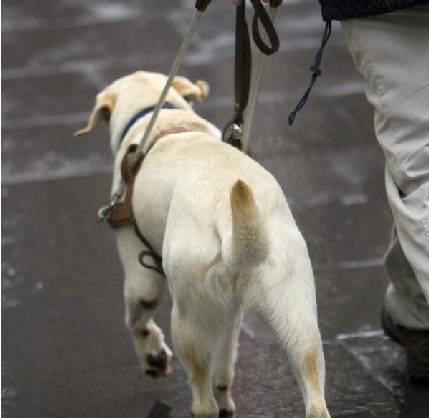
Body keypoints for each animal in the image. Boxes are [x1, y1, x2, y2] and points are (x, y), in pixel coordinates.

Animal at [77, 72, 330, 418]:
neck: (161, 115)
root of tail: (226, 216)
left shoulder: (140, 276)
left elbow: (137, 321)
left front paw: (153, 356)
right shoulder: (230, 314)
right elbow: (225, 365)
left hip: (187, 320)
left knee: (202, 396)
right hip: (296, 317)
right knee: (314, 397)